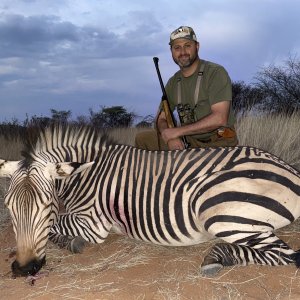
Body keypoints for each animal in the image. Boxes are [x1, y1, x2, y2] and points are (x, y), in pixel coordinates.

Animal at [0, 124, 300, 276]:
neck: (86, 174)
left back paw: (218, 257)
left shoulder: (92, 224)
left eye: (46, 205)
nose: (24, 269)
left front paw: (71, 242)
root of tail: (289, 169)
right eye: (8, 208)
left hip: (219, 211)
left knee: (288, 255)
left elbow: (55, 228)